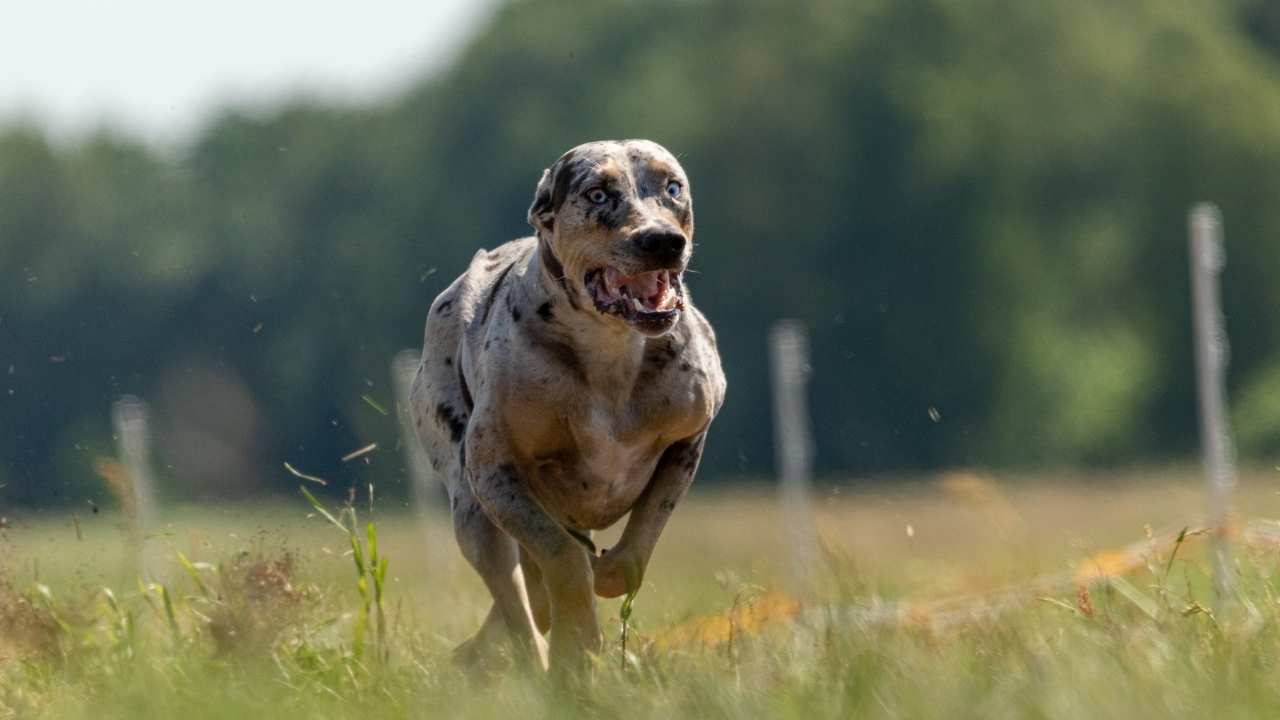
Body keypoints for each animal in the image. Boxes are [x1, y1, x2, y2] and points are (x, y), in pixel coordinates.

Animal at [412, 140, 727, 671]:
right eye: (597, 193)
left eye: (673, 187)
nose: (662, 240)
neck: (610, 351)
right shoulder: (495, 474)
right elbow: (561, 557)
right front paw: (575, 638)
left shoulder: (689, 437)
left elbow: (637, 547)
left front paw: (608, 575)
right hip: (471, 514)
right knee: (516, 599)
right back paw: (531, 657)